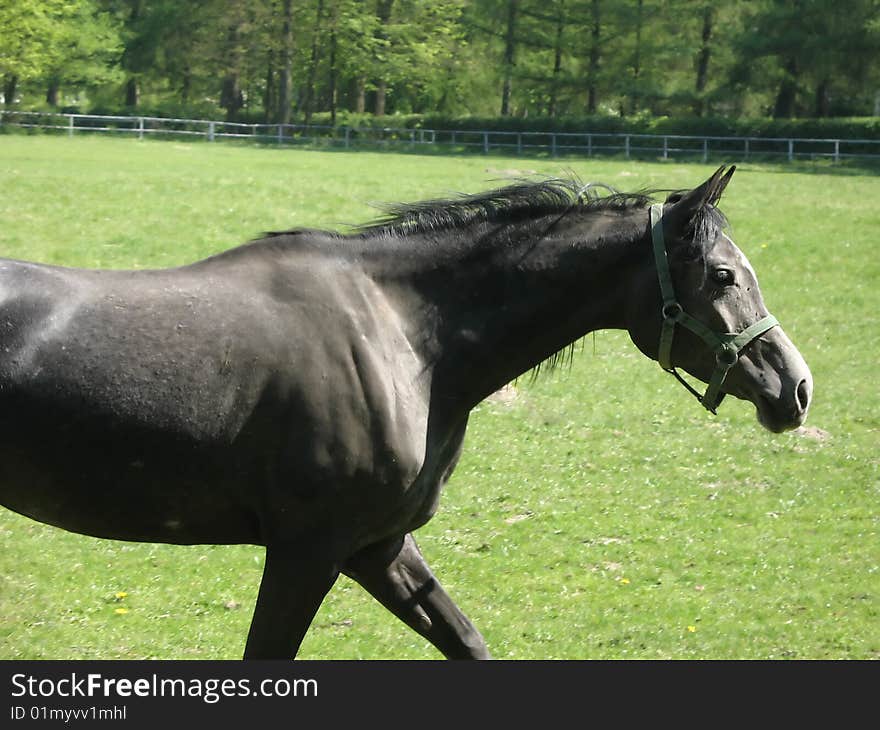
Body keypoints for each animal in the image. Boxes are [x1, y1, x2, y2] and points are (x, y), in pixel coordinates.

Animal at [0, 166, 812, 660]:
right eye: (723, 275)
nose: (795, 388)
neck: (405, 340)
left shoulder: (379, 547)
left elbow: (468, 641)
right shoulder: (308, 550)